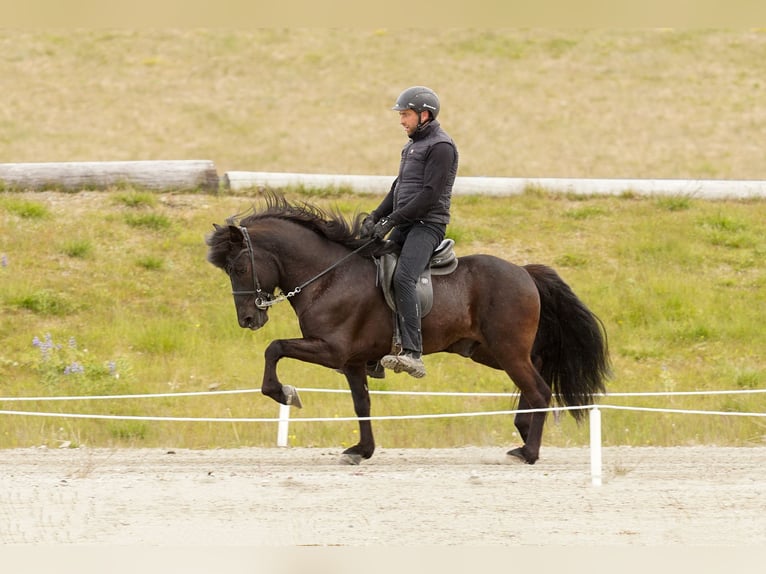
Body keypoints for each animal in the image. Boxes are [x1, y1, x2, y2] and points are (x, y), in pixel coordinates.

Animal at [205, 192, 610, 465]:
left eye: (239, 267)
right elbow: (361, 403)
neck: (329, 276)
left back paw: (528, 451)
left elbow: (274, 348)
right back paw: (523, 431)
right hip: (489, 351)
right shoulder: (352, 362)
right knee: (536, 371)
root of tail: (525, 271)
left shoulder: (331, 349)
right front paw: (362, 450)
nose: (248, 319)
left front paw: (285, 393)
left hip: (506, 350)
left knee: (539, 388)